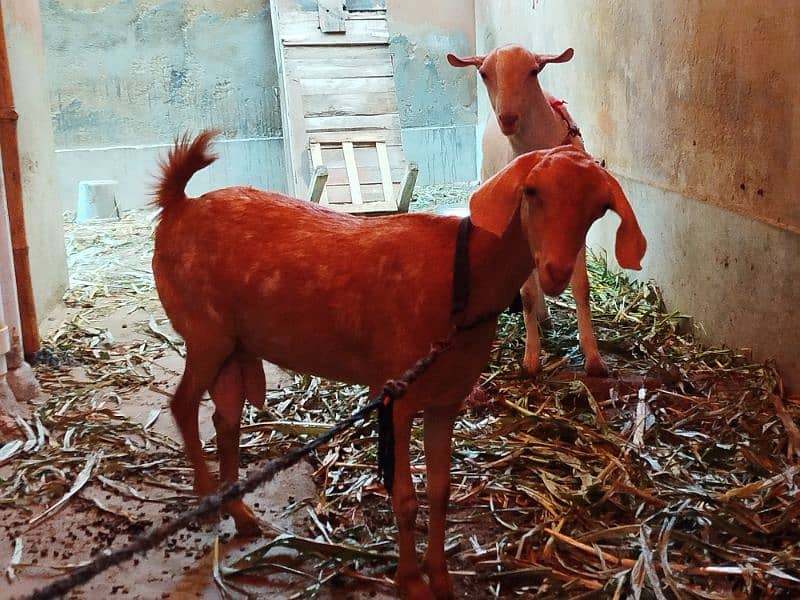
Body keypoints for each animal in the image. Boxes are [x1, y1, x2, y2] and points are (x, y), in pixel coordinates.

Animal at [153, 132, 648, 600]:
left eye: (600, 208)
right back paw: (209, 500)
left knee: (225, 419)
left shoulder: (446, 400)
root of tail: (179, 205)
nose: (555, 271)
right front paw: (411, 580)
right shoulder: (397, 396)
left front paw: (442, 577)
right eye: (531, 191)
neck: (460, 279)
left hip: (233, 345)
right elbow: (405, 497)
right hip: (204, 332)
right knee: (183, 405)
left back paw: (239, 512)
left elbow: (440, 491)